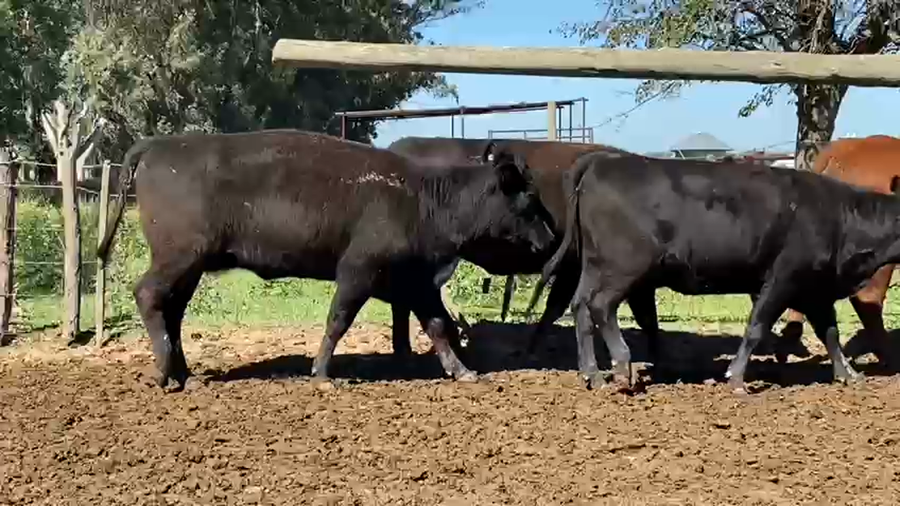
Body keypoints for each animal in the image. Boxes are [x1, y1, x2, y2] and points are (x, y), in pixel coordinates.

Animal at [95, 129, 556, 390]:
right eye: (529, 201)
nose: (552, 238)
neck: (424, 199)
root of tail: (159, 145)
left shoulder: (415, 283)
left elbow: (439, 326)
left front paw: (462, 371)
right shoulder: (358, 271)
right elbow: (338, 320)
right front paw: (320, 374)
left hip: (189, 266)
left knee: (171, 311)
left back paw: (183, 374)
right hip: (179, 256)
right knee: (149, 296)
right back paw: (163, 374)